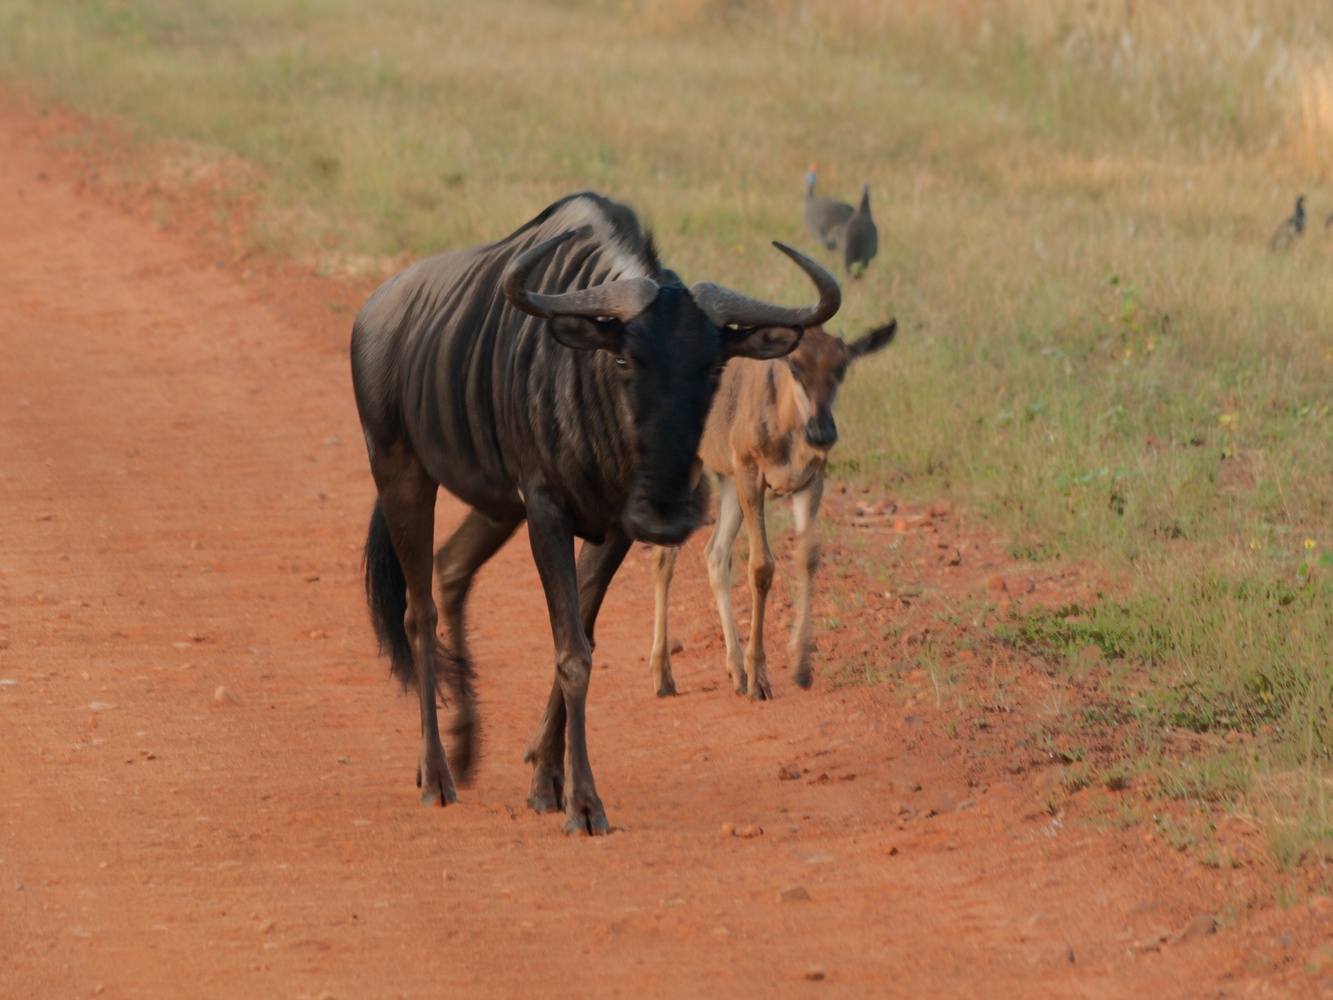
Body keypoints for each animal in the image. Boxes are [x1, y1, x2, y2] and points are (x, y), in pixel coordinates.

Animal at [648, 319, 897, 700]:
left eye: (841, 367)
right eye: (794, 366)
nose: (822, 433)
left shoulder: (810, 481)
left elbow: (808, 556)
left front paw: (801, 668)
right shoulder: (752, 476)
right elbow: (762, 566)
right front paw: (760, 680)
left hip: (727, 480)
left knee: (715, 554)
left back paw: (735, 671)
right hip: (693, 471)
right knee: (665, 557)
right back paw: (664, 676)